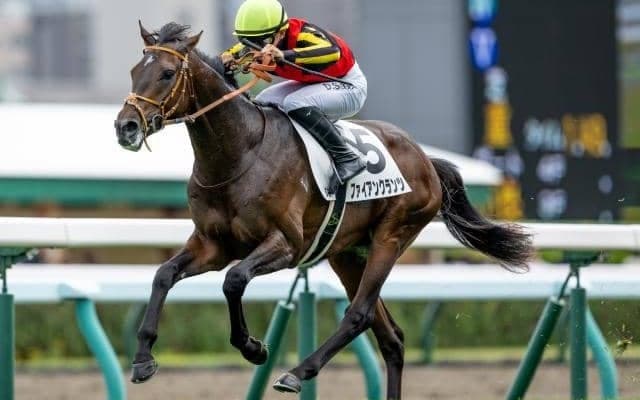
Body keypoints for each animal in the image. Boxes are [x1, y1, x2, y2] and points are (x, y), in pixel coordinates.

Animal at [114, 22, 533, 398]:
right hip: (347, 253)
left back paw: (297, 372)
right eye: (134, 71)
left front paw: (254, 348)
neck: (240, 153)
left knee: (359, 314)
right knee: (391, 337)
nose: (126, 127)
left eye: (167, 73)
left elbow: (234, 280)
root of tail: (426, 160)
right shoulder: (212, 245)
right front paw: (143, 359)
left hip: (391, 236)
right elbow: (163, 275)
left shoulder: (286, 245)